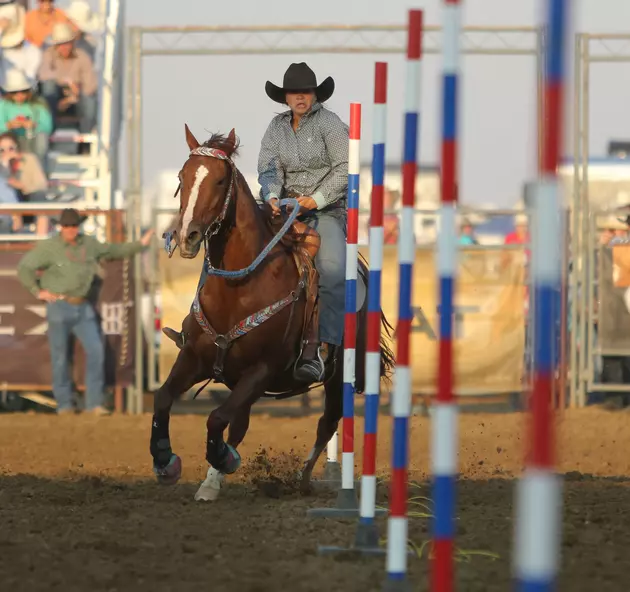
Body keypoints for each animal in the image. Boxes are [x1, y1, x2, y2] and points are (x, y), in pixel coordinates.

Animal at [151, 123, 396, 500]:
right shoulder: (194, 357)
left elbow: (216, 418)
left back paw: (303, 478)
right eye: (183, 176)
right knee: (242, 422)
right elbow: (164, 399)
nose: (187, 236)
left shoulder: (262, 370)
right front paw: (166, 460)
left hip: (340, 375)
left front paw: (223, 459)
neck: (238, 290)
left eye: (219, 181)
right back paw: (213, 480)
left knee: (327, 422)